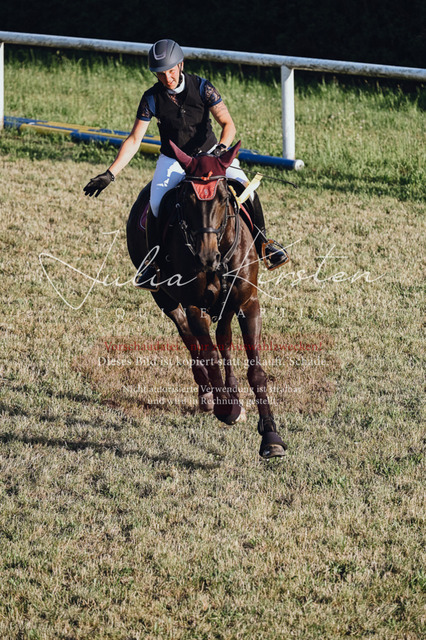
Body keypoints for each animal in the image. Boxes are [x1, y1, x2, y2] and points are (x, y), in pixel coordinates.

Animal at [126, 140, 287, 459]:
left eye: (224, 198)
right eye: (186, 201)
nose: (206, 256)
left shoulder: (248, 303)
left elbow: (255, 370)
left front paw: (270, 437)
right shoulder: (193, 306)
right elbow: (208, 352)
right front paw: (226, 408)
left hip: (226, 307)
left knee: (223, 339)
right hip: (163, 298)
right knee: (191, 341)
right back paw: (210, 394)